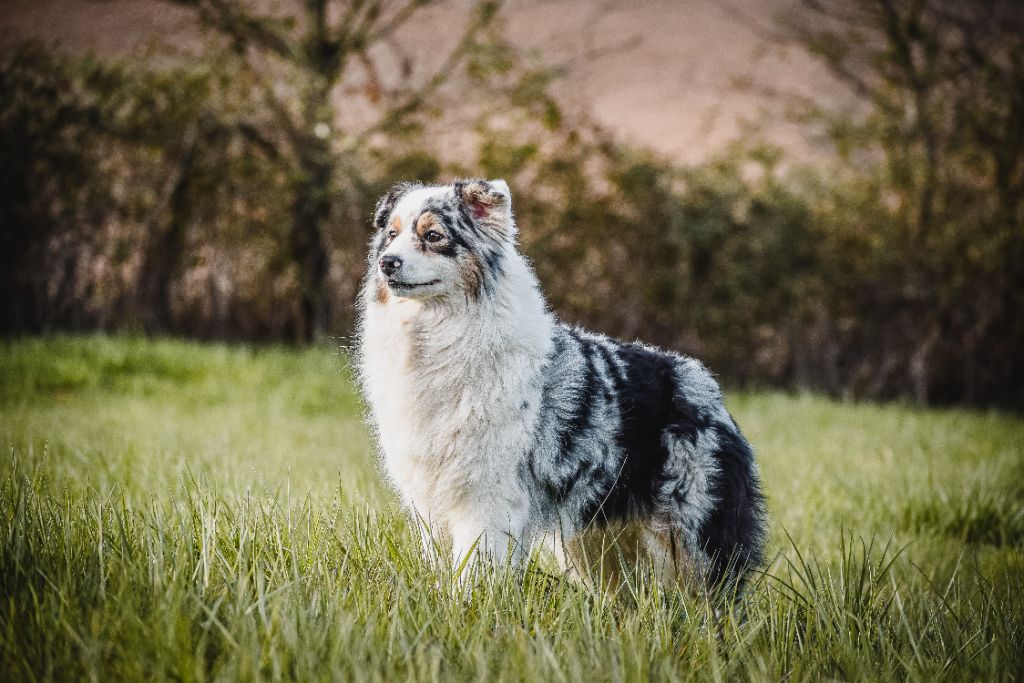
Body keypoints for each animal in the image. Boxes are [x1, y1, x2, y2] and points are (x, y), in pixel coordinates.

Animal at [356, 180, 765, 593]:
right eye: (391, 235)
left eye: (433, 236)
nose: (387, 262)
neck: (438, 334)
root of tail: (707, 386)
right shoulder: (432, 495)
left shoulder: (487, 496)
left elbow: (474, 567)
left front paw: (469, 603)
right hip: (597, 543)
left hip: (694, 535)